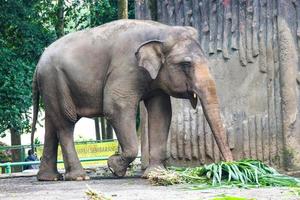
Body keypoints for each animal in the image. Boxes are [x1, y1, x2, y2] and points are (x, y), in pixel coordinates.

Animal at [30, 19, 233, 181]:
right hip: (55, 80)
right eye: (185, 64)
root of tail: (38, 63)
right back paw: (79, 177)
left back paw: (49, 178)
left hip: (51, 86)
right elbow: (115, 106)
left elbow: (161, 112)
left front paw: (156, 173)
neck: (162, 31)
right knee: (66, 123)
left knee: (52, 125)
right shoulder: (127, 67)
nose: (228, 166)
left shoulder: (154, 79)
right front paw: (114, 167)